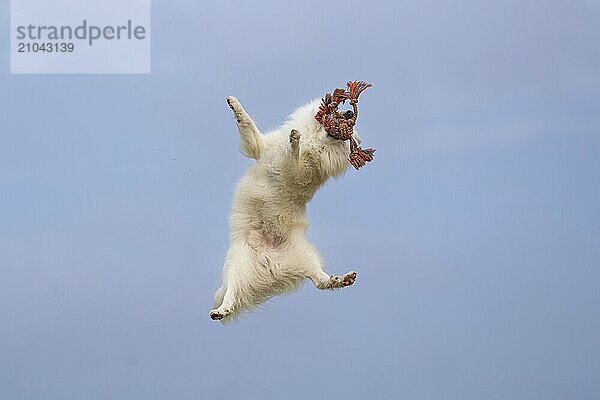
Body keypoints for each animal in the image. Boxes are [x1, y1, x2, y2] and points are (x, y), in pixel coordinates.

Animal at [211, 91, 370, 322]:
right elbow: (247, 122)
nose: (350, 112)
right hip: (237, 266)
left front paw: (295, 140)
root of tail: (271, 266)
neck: (317, 140)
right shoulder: (260, 147)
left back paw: (341, 279)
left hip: (303, 258)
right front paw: (234, 103)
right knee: (232, 292)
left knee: (320, 281)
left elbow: (294, 156)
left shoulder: (300, 171)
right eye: (341, 112)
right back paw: (222, 310)